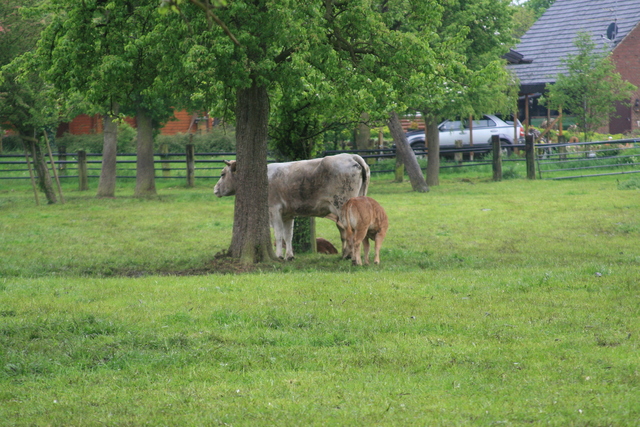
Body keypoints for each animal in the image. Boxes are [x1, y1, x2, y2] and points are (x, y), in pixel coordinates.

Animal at [214, 154, 370, 260]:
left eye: (222, 174)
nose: (215, 189)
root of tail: (350, 156)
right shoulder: (288, 214)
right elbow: (288, 235)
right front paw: (289, 255)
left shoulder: (274, 210)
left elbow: (278, 234)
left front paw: (278, 255)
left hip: (342, 206)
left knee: (348, 230)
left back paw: (349, 255)